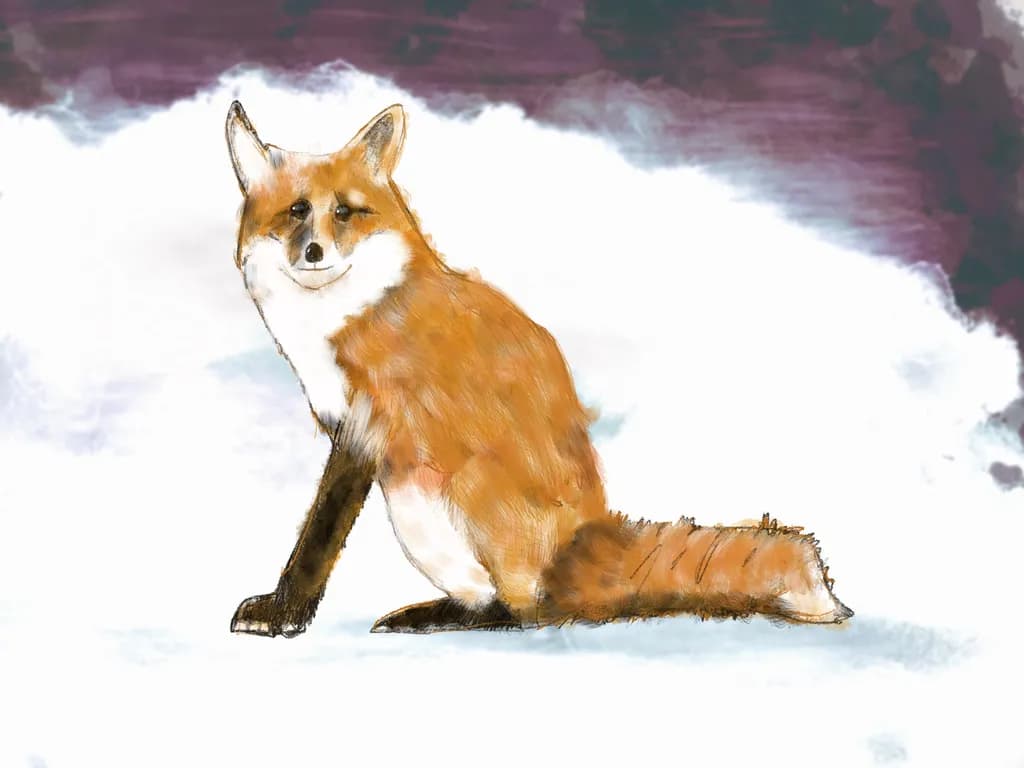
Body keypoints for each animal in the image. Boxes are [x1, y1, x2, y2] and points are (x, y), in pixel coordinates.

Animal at [224, 100, 853, 637]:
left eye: (345, 212)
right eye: (296, 212)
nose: (314, 253)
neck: (352, 311)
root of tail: (582, 538)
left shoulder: (365, 428)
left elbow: (318, 537)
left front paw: (284, 613)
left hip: (437, 495)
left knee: (529, 612)